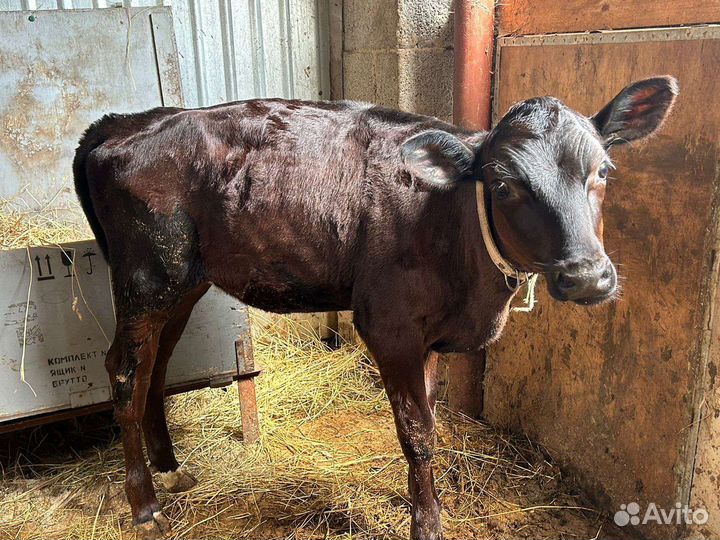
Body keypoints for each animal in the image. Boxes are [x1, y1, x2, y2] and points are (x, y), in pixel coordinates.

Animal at [73, 76, 678, 540]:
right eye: (503, 183)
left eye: (604, 170)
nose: (588, 276)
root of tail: (127, 122)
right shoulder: (390, 325)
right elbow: (417, 433)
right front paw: (427, 524)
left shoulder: (429, 337)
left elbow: (428, 423)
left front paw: (421, 504)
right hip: (146, 276)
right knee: (124, 372)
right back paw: (144, 504)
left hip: (183, 281)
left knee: (157, 366)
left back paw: (171, 470)